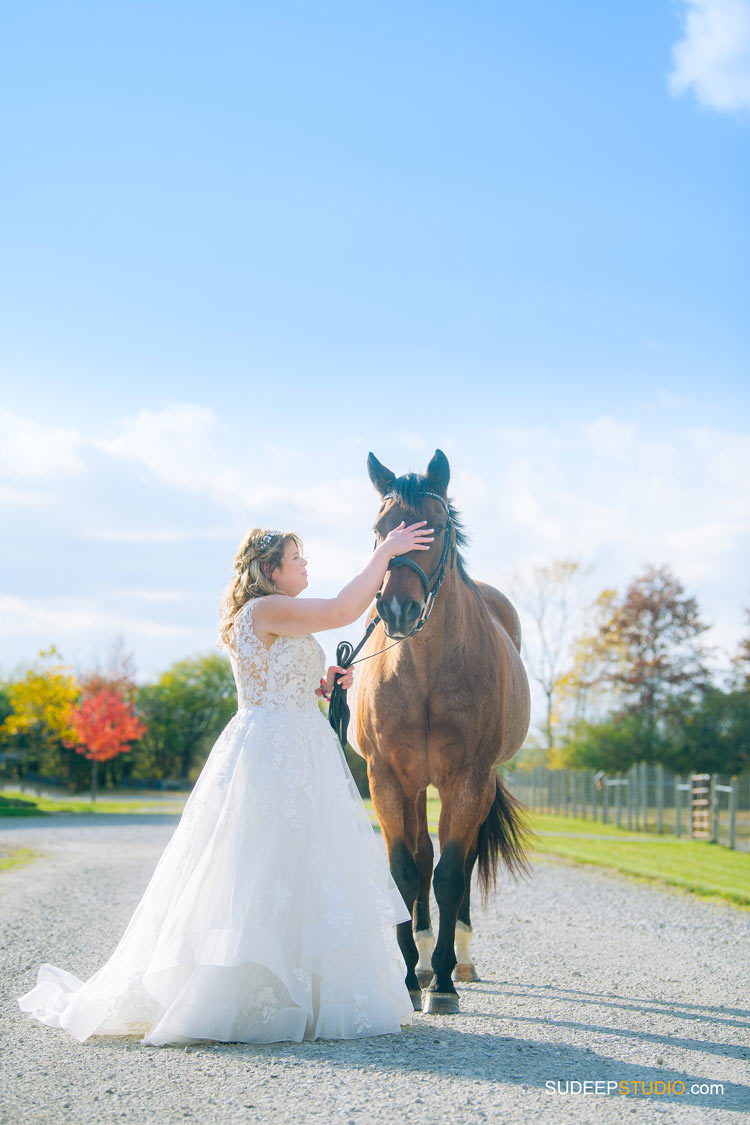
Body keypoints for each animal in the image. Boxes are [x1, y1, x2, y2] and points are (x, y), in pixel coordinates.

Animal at [355, 452, 530, 1017]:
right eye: (380, 530)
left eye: (435, 528)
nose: (397, 610)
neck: (427, 671)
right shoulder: (388, 779)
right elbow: (405, 872)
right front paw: (412, 975)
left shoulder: (468, 779)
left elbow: (453, 874)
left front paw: (445, 985)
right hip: (416, 787)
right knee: (422, 857)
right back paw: (426, 952)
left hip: (477, 784)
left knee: (463, 860)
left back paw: (459, 960)